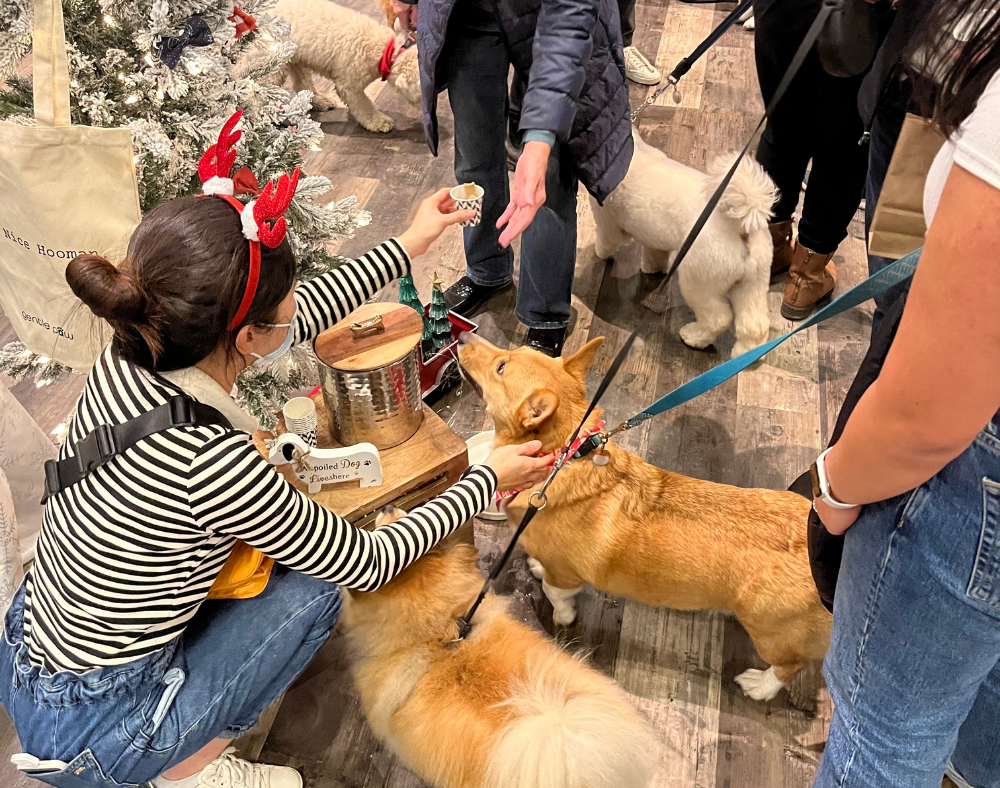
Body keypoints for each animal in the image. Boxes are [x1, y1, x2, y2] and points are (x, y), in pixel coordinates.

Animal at [272, 0, 420, 132]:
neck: (387, 52)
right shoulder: (349, 87)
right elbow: (364, 106)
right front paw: (378, 121)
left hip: (296, 58)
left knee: (301, 84)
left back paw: (319, 101)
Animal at [458, 334, 832, 700]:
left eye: (501, 367)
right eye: (515, 350)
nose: (461, 337)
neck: (563, 455)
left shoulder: (565, 574)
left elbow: (555, 592)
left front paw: (563, 615)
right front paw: (535, 566)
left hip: (770, 634)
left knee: (790, 666)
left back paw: (760, 686)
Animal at [588, 129, 776, 358]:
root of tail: (738, 224)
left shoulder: (608, 224)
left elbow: (606, 242)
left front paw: (599, 254)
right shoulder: (654, 239)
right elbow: (655, 255)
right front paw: (652, 269)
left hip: (697, 283)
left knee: (718, 319)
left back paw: (694, 337)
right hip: (752, 284)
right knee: (754, 325)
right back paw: (747, 354)